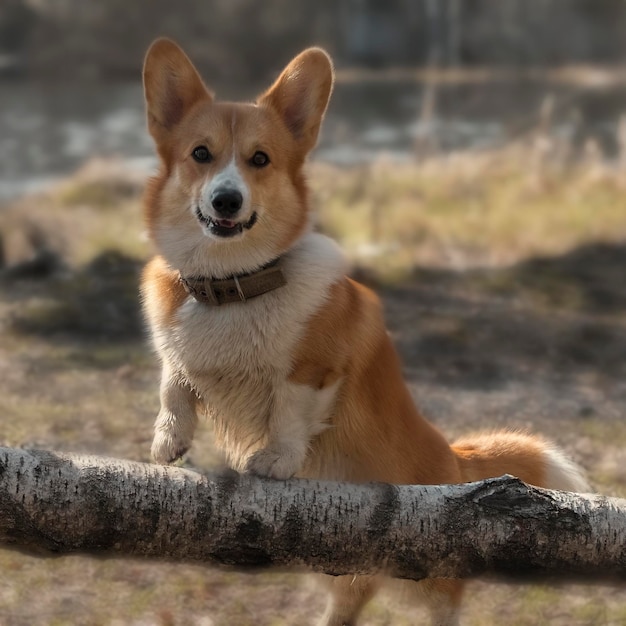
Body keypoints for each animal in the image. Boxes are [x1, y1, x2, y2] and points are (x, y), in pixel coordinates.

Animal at [139, 39, 588, 624]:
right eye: (200, 154)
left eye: (260, 159)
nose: (226, 201)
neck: (232, 282)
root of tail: (455, 459)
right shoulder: (177, 352)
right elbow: (174, 382)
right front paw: (167, 440)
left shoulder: (316, 367)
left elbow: (290, 410)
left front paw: (276, 462)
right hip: (342, 562)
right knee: (348, 602)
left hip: (429, 566)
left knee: (446, 597)